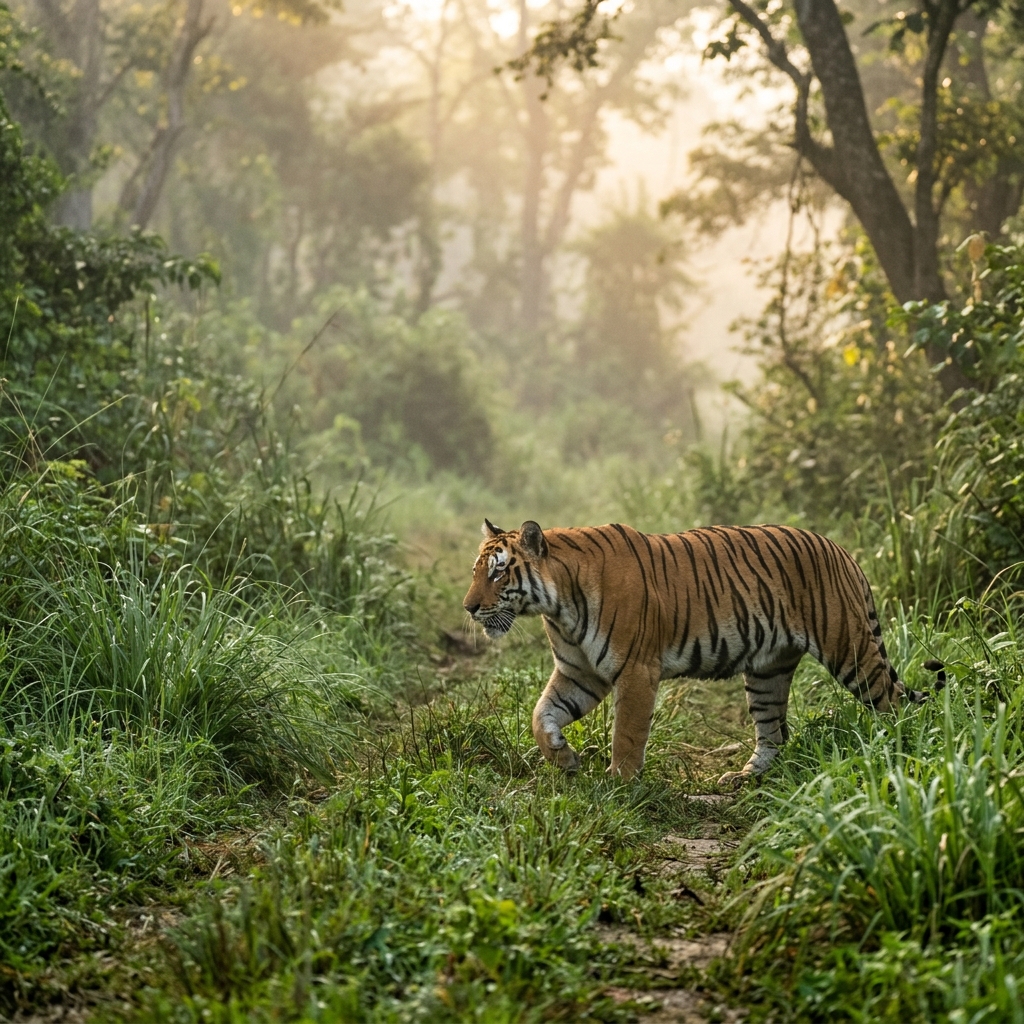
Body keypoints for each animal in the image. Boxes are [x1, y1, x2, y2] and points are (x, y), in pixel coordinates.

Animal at [462, 519, 945, 786]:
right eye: (475, 572)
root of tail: (842, 552)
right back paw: (745, 779)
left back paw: (900, 754)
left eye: (499, 573)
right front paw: (564, 759)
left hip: (849, 649)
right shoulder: (580, 673)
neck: (558, 606)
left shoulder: (636, 671)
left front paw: (619, 783)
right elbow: (541, 715)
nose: (468, 608)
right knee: (774, 733)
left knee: (894, 703)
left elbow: (627, 734)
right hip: (768, 672)